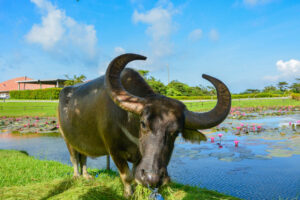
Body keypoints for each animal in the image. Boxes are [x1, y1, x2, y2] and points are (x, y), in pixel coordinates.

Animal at [59, 53, 232, 197]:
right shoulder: (114, 151)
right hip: (66, 139)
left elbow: (135, 176)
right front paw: (128, 194)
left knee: (83, 157)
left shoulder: (140, 158)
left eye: (176, 132)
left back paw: (87, 175)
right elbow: (127, 176)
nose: (152, 177)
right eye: (143, 124)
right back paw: (77, 176)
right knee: (74, 158)